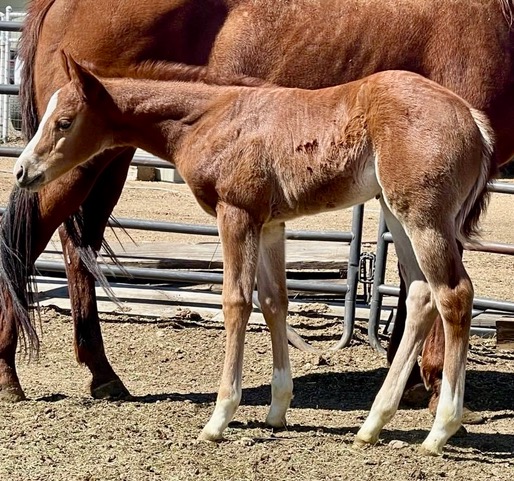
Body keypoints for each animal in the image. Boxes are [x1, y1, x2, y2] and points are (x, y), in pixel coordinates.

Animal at [2, 0, 510, 408]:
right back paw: (19, 373)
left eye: (64, 121)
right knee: (30, 244)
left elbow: (255, 301)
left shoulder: (256, 216)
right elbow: (268, 302)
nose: (22, 169)